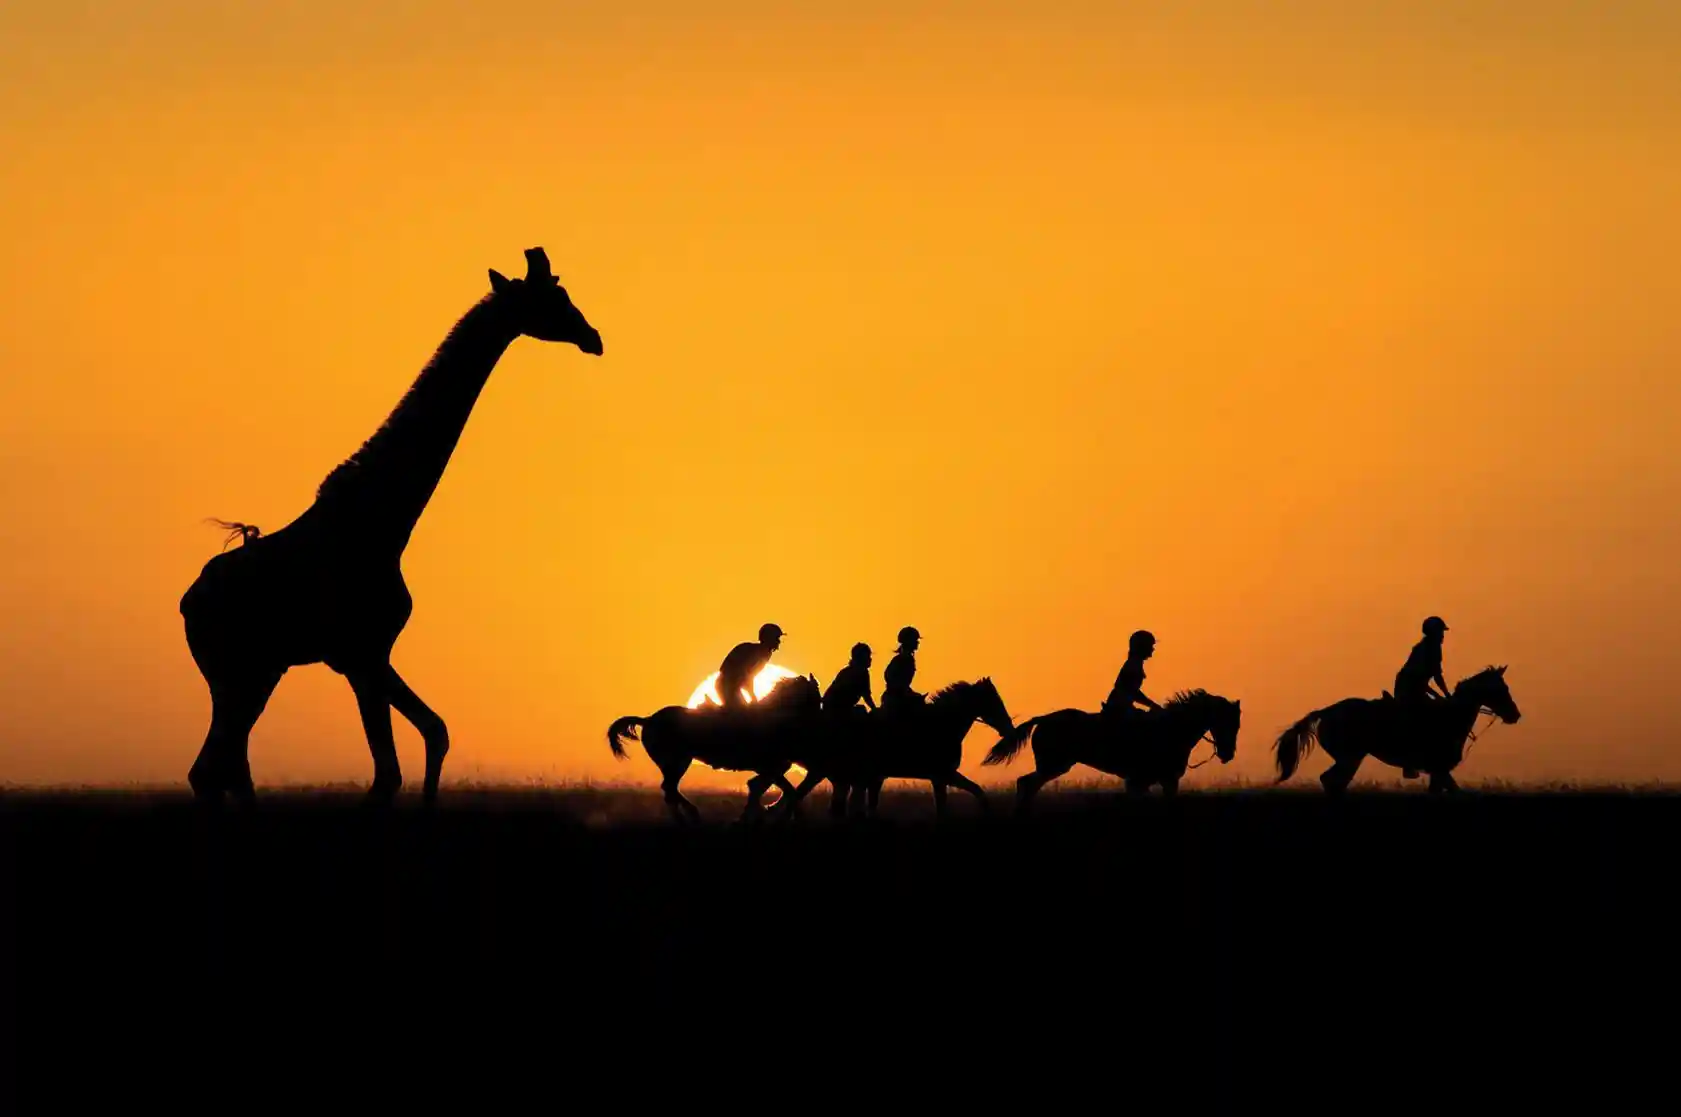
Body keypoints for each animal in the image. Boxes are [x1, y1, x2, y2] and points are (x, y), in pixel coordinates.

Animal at [606, 673, 824, 823]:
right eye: (816, 696)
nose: (820, 721)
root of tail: (648, 720)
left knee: (669, 789)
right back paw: (690, 816)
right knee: (669, 789)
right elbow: (789, 790)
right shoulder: (768, 766)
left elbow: (775, 788)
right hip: (677, 761)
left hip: (674, 763)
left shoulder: (772, 767)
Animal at [774, 678, 1016, 820]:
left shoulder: (941, 776)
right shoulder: (942, 775)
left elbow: (972, 794)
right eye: (994, 701)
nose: (1008, 728)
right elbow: (961, 799)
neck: (940, 725)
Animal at [984, 690, 1242, 810]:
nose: (1227, 754)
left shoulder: (1157, 781)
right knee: (1027, 784)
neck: (1170, 729)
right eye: (1225, 722)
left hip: (1053, 766)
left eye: (1237, 725)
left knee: (1027, 784)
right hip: (1054, 765)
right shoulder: (1147, 780)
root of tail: (1043, 719)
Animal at [1273, 665, 1522, 793]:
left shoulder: (1439, 771)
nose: (1515, 715)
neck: (1451, 717)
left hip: (1350, 758)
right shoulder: (1439, 768)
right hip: (1350, 757)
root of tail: (1325, 712)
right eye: (1502, 689)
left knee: (1334, 782)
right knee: (1331, 781)